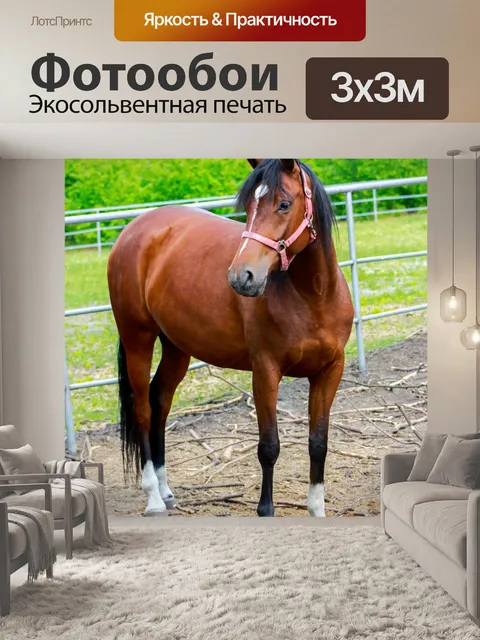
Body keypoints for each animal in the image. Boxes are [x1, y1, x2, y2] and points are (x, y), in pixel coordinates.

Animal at [107, 159, 354, 517]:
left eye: (284, 204)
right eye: (249, 206)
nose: (242, 277)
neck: (314, 298)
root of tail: (135, 229)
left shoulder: (330, 371)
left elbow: (318, 444)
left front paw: (316, 510)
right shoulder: (265, 371)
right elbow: (269, 446)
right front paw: (265, 510)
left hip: (176, 347)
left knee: (160, 400)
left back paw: (166, 491)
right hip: (137, 338)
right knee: (142, 409)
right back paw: (153, 497)